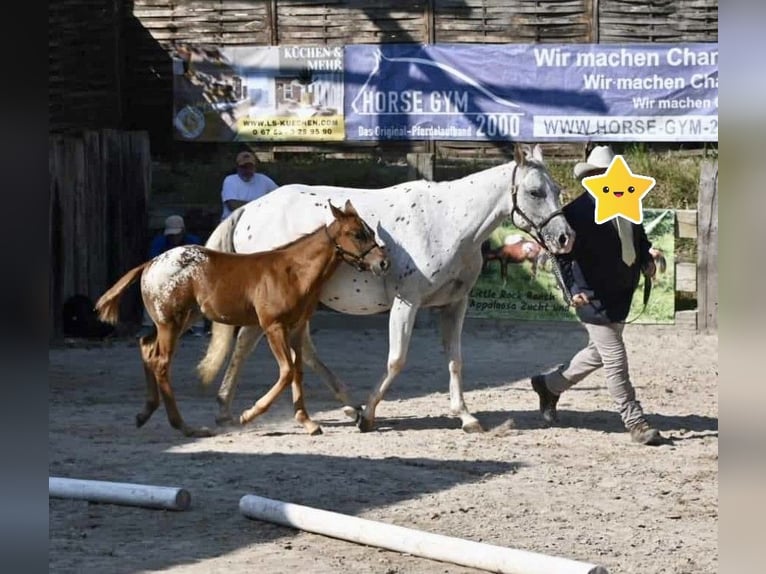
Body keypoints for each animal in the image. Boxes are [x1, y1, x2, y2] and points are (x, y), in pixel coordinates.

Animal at [97, 200, 392, 438]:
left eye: (370, 231)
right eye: (357, 234)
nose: (383, 263)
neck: (292, 272)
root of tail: (150, 263)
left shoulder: (295, 328)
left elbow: (297, 370)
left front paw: (307, 421)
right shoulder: (273, 326)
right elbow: (286, 372)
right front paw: (249, 414)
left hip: (177, 321)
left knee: (147, 347)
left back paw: (145, 413)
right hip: (171, 323)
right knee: (160, 363)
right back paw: (185, 427)